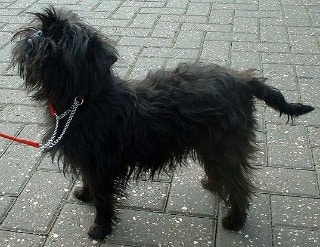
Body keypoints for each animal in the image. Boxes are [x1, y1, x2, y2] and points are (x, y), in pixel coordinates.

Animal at [11, 6, 314, 240]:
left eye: (60, 42)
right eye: (44, 29)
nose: (38, 35)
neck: (83, 99)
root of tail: (242, 80)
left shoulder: (101, 164)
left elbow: (103, 198)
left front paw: (100, 229)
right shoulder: (88, 162)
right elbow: (89, 183)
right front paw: (85, 194)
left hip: (224, 147)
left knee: (240, 184)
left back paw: (235, 220)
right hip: (213, 146)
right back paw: (213, 184)